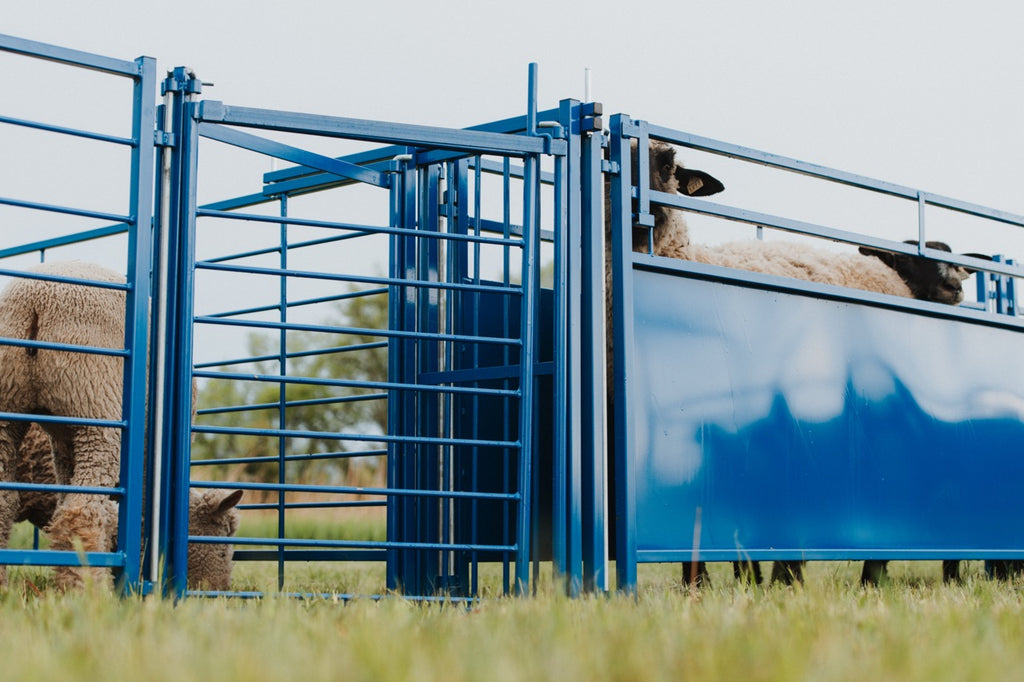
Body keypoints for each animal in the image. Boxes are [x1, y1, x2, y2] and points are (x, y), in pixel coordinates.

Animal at [0, 261, 241, 591]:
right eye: (226, 538)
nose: (221, 591)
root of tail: (33, 302)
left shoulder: (63, 443)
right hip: (96, 411)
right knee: (82, 509)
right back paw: (86, 587)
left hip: (10, 406)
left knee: (7, 502)